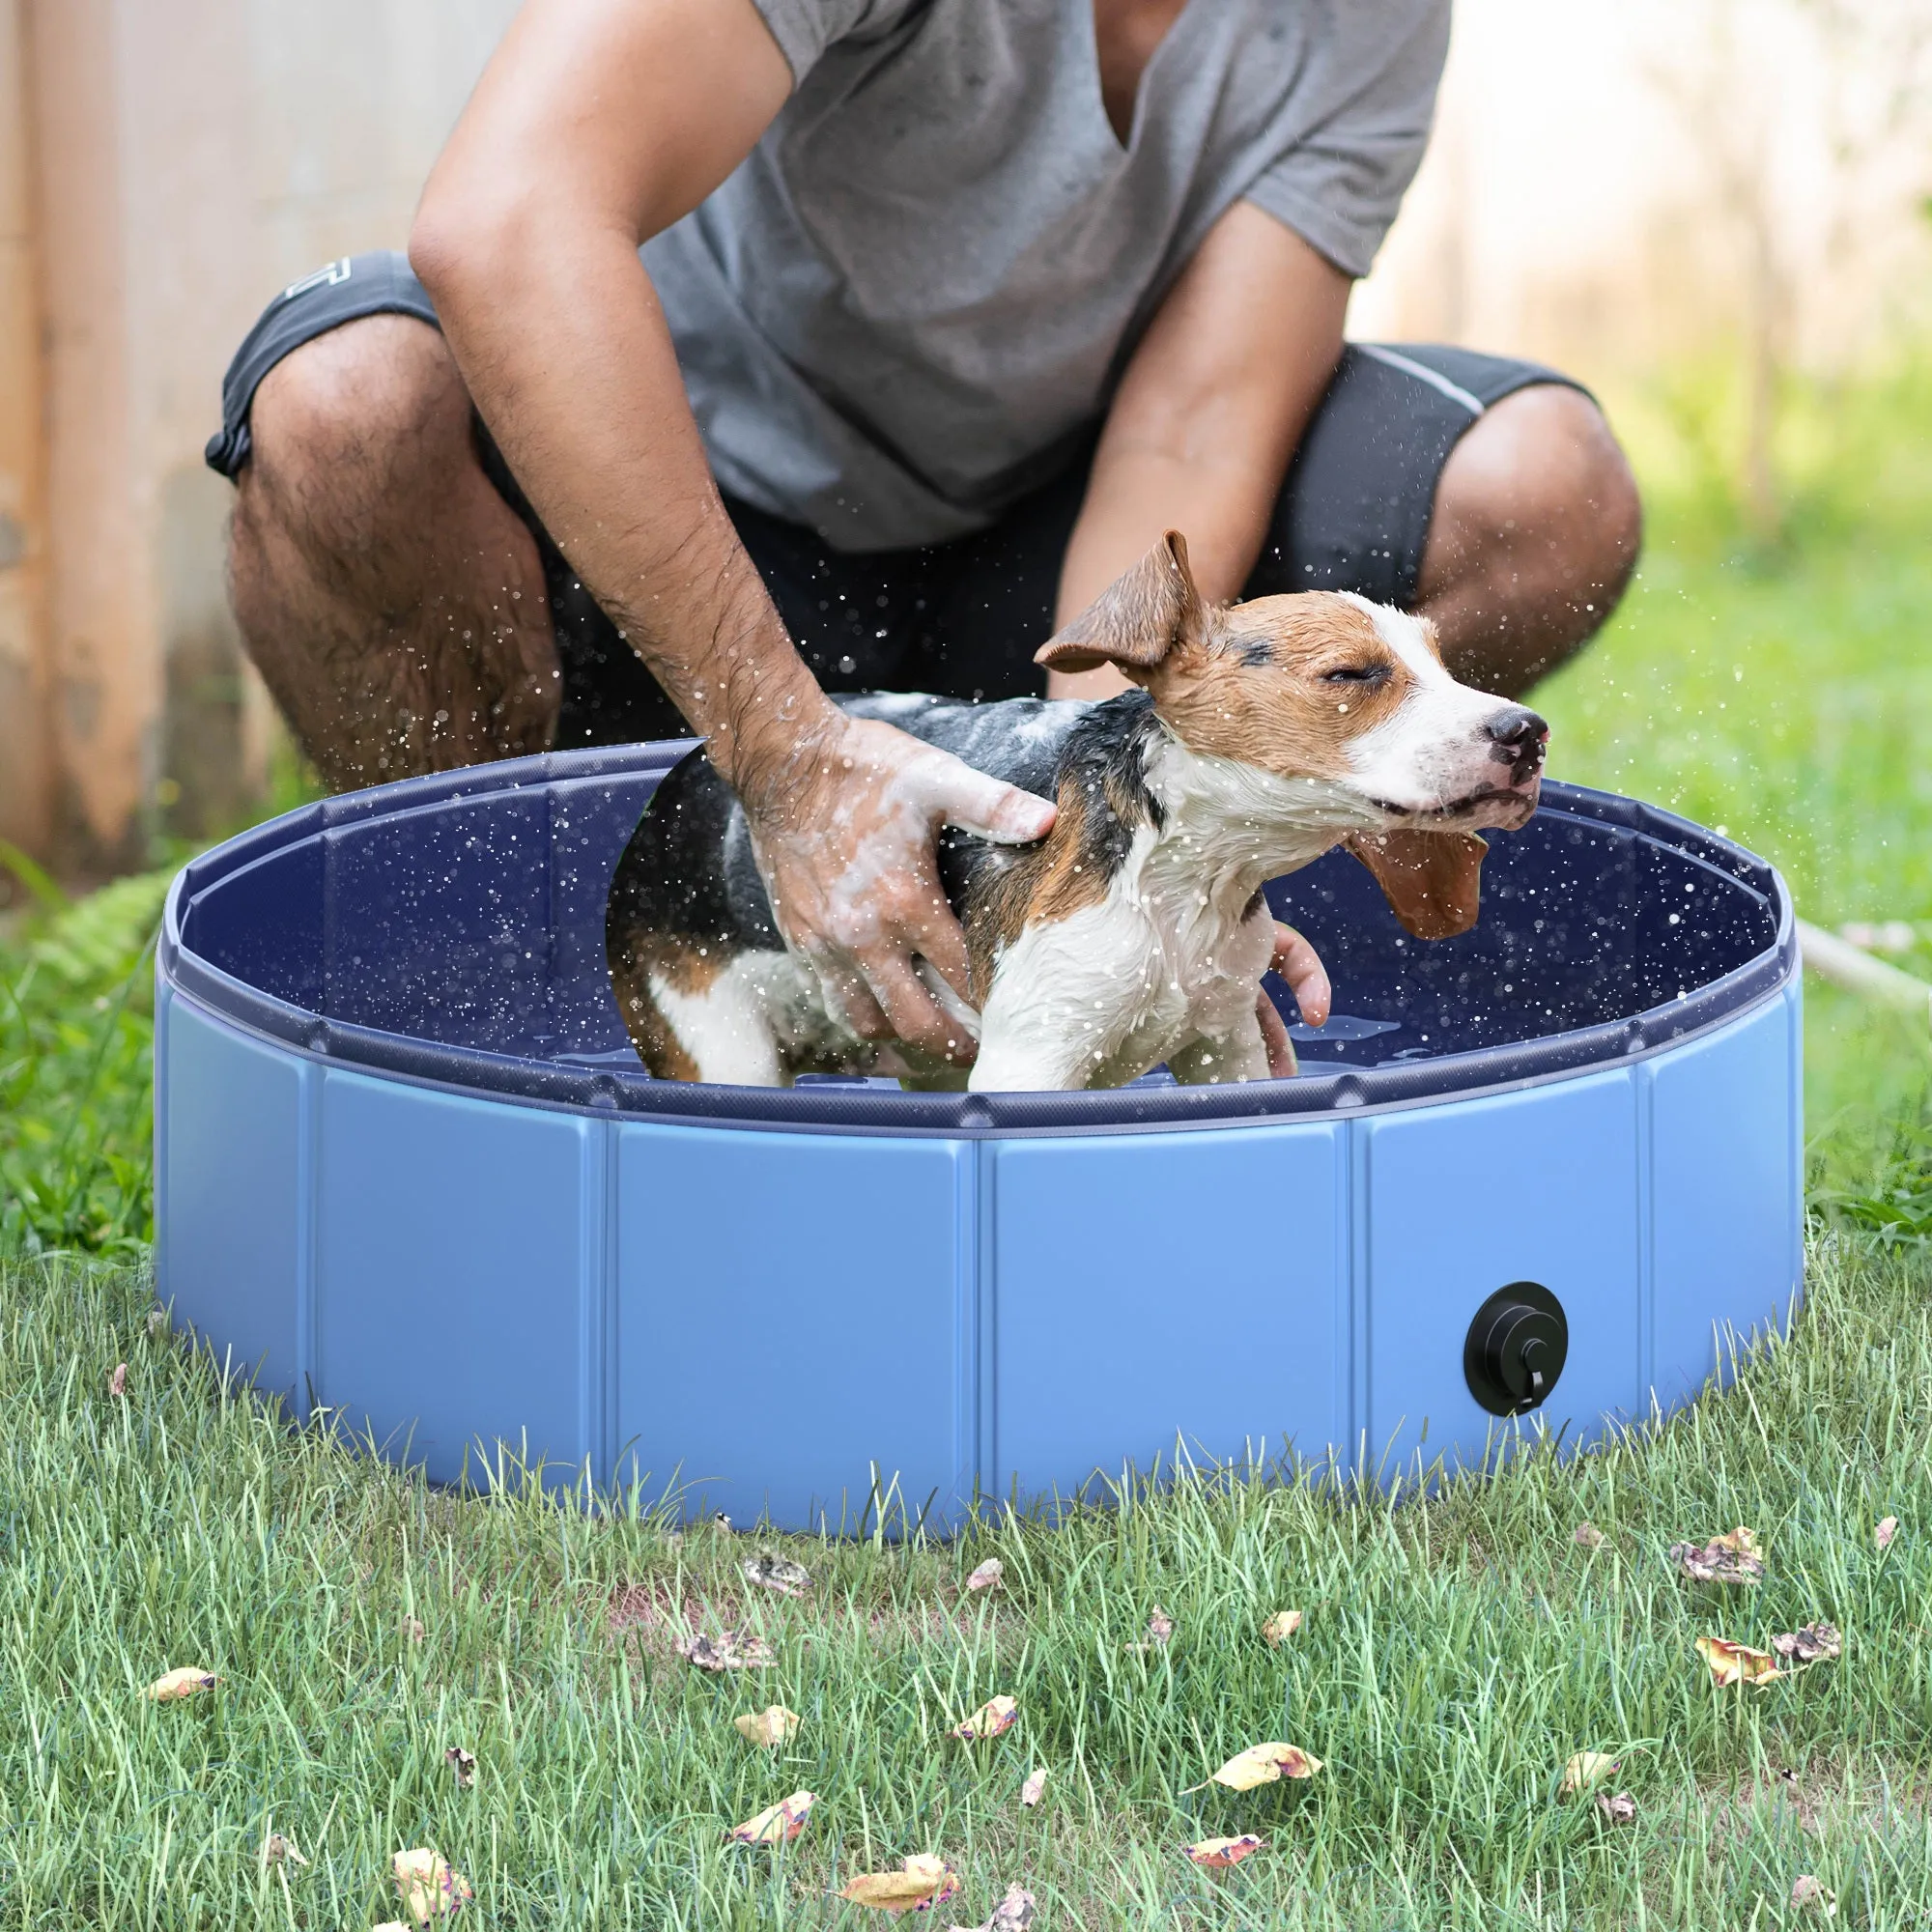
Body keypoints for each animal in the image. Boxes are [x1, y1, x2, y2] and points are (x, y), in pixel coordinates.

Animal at [603, 533, 1538, 1090]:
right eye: (1350, 674)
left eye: (1444, 664)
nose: (1528, 732)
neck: (1180, 880)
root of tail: (676, 786)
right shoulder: (1032, 1061)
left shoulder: (1223, 1045)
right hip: (716, 1040)